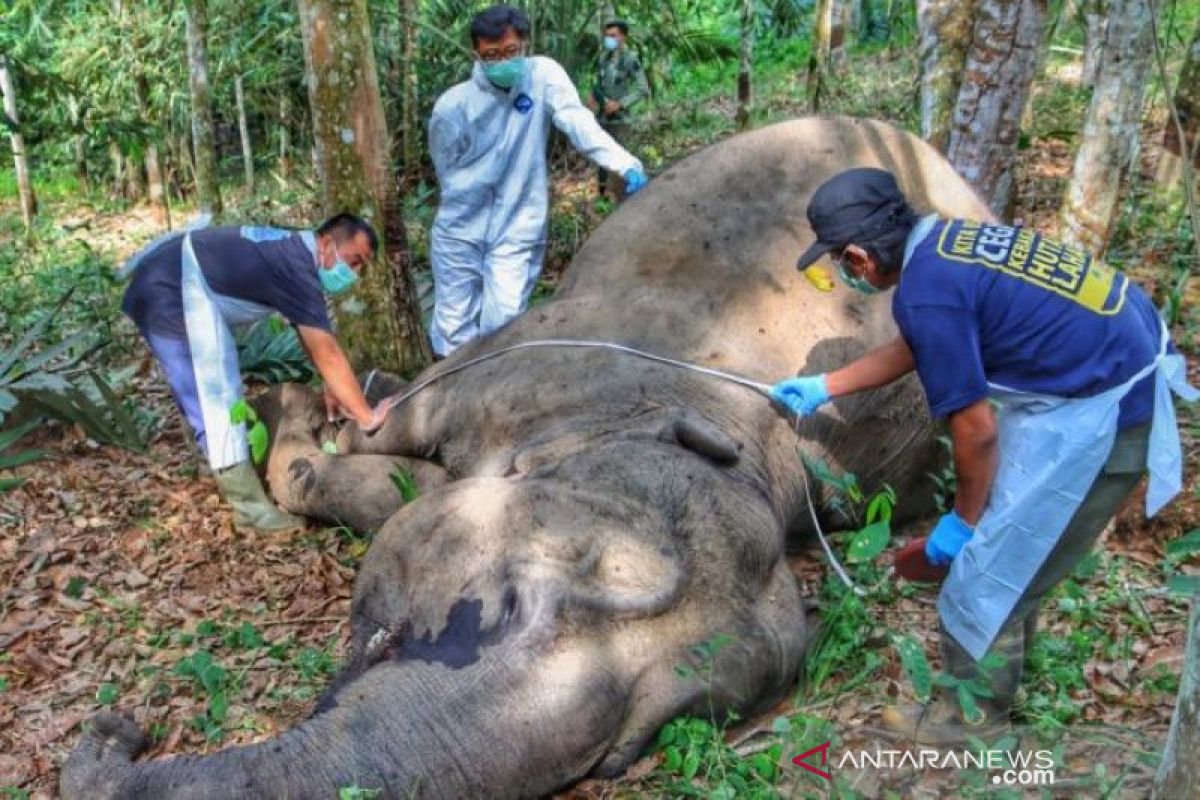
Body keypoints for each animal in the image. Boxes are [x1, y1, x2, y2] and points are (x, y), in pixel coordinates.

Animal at [60, 115, 988, 796]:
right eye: (509, 602)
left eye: (641, 734)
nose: (117, 730)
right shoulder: (533, 364)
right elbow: (381, 435)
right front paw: (306, 410)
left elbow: (389, 489)